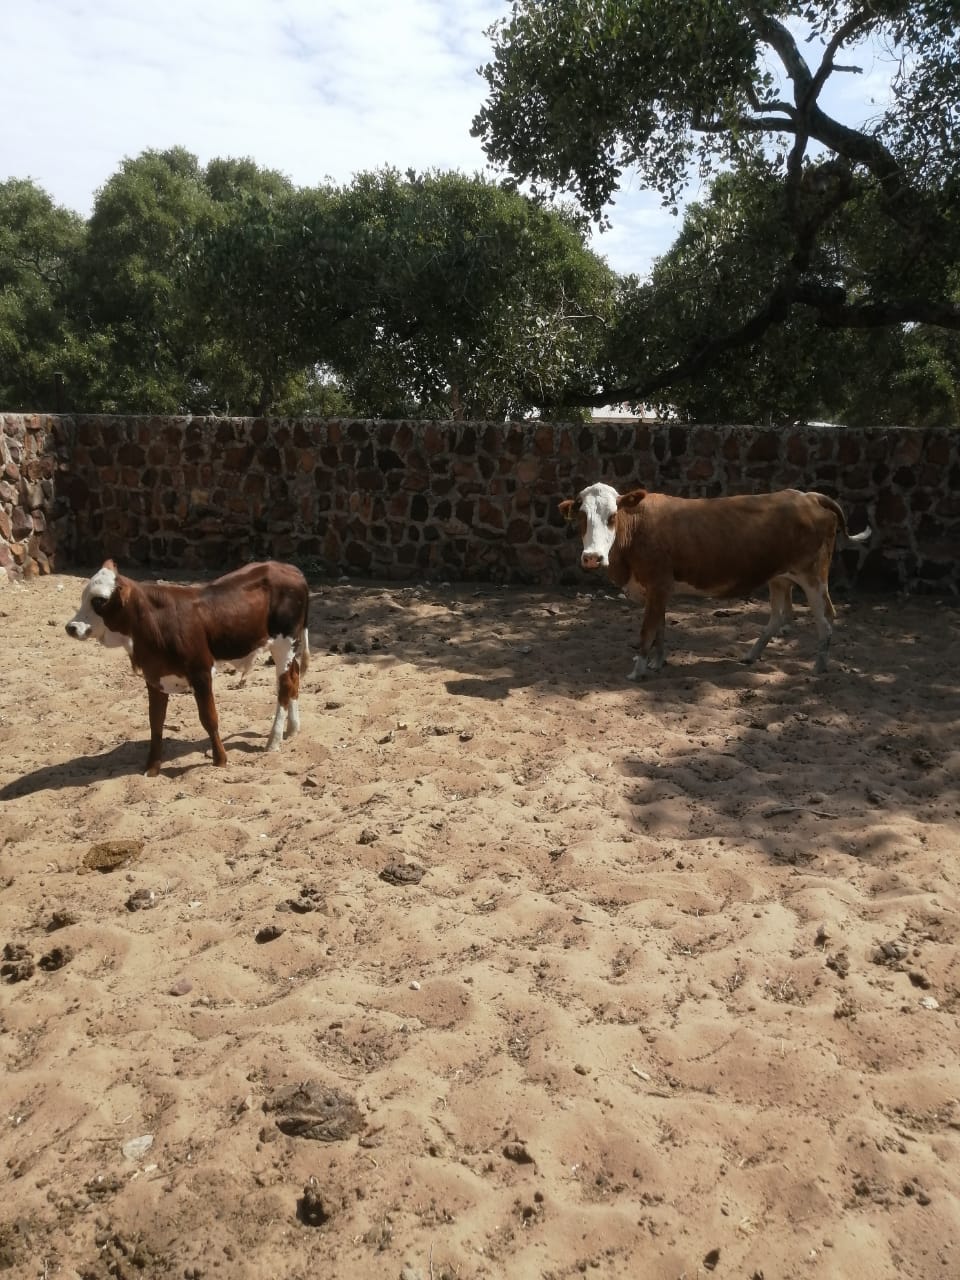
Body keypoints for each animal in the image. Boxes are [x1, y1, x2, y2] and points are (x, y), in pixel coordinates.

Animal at [66, 563, 312, 778]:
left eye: (99, 600)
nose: (71, 627)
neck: (156, 623)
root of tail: (290, 569)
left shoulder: (201, 673)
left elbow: (209, 718)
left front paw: (220, 760)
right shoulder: (154, 677)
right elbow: (156, 722)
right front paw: (152, 768)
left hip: (284, 643)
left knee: (284, 686)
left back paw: (274, 740)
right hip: (290, 647)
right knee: (294, 678)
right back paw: (293, 728)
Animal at [560, 481, 875, 680]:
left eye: (612, 516)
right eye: (581, 517)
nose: (592, 557)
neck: (636, 530)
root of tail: (808, 496)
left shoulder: (658, 584)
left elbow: (647, 630)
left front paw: (638, 670)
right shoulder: (658, 591)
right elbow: (660, 627)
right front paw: (658, 663)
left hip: (813, 576)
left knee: (826, 617)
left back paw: (818, 667)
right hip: (780, 578)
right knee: (779, 616)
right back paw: (751, 655)